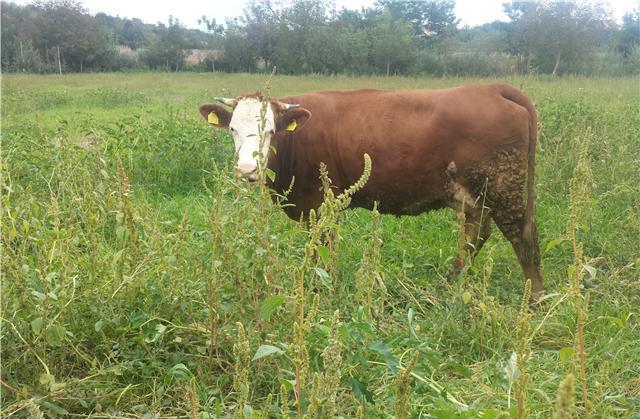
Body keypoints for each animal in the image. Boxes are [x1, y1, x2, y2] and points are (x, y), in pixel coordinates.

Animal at [201, 84, 544, 302]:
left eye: (270, 130)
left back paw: (535, 298)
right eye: (232, 129)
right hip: (473, 195)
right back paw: (450, 282)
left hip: (503, 187)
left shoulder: (320, 201)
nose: (246, 169)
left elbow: (323, 247)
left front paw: (323, 287)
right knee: (475, 235)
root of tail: (492, 87)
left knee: (521, 235)